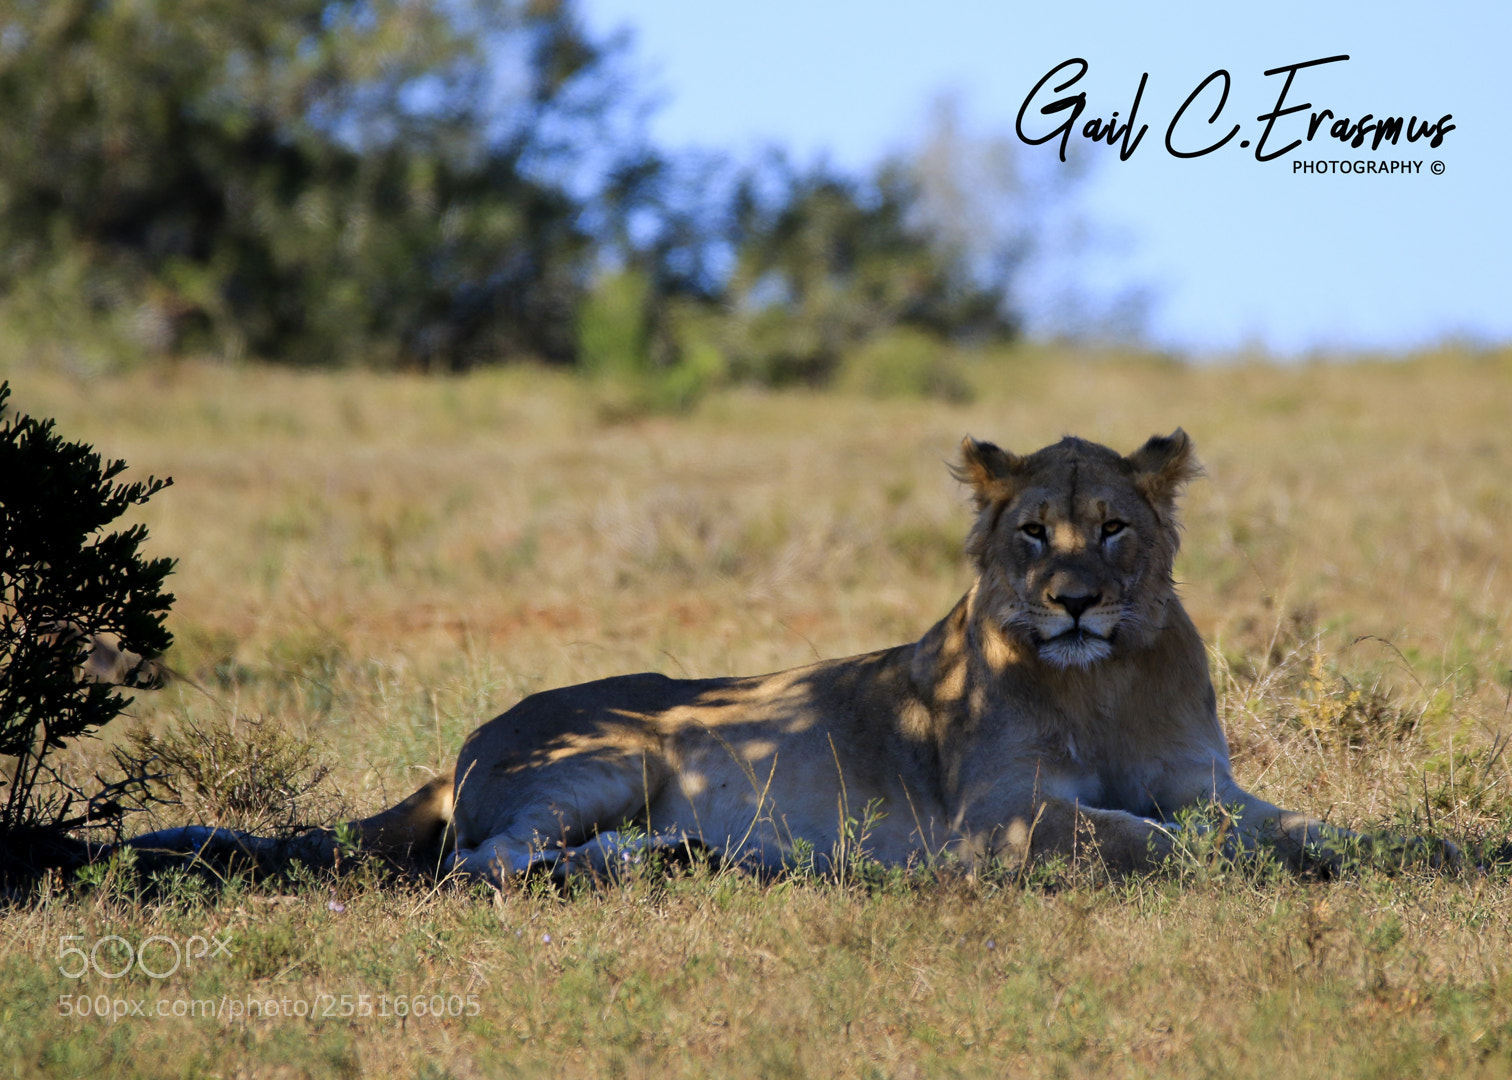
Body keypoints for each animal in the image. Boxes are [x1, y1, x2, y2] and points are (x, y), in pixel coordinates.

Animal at [129, 430, 1448, 878]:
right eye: (1034, 534)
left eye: (1114, 530)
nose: (1074, 602)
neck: (1105, 683)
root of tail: (468, 741)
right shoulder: (998, 817)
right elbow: (1132, 835)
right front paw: (1208, 859)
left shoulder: (1204, 778)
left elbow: (1288, 821)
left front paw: (1385, 848)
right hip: (620, 743)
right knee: (481, 863)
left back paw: (693, 860)